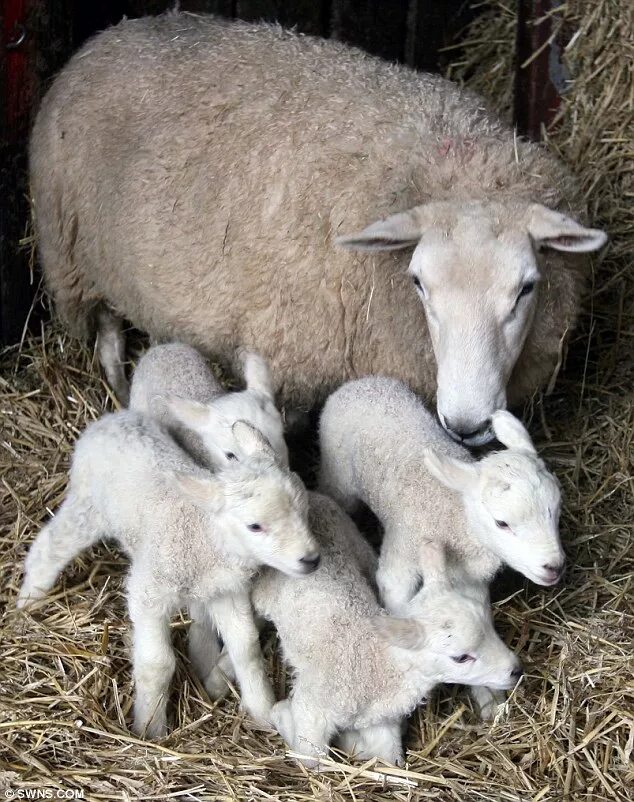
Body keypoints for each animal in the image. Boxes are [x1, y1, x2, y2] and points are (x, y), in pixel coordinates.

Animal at [17, 410, 318, 736]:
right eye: (255, 526)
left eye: (304, 509)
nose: (311, 559)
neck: (205, 536)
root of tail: (110, 418)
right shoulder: (150, 591)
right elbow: (157, 664)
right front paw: (150, 728)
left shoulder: (225, 589)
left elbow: (246, 647)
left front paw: (261, 711)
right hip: (88, 505)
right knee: (50, 546)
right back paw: (29, 600)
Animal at [29, 9, 604, 440]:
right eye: (419, 284)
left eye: (526, 288)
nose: (466, 424)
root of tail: (108, 34)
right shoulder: (287, 365)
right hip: (74, 257)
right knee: (105, 333)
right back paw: (117, 387)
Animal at [247, 490, 520, 764]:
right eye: (461, 657)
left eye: (490, 628)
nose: (516, 670)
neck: (377, 666)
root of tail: (313, 495)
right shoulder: (313, 707)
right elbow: (311, 759)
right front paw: (281, 714)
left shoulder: (379, 721)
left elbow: (388, 759)